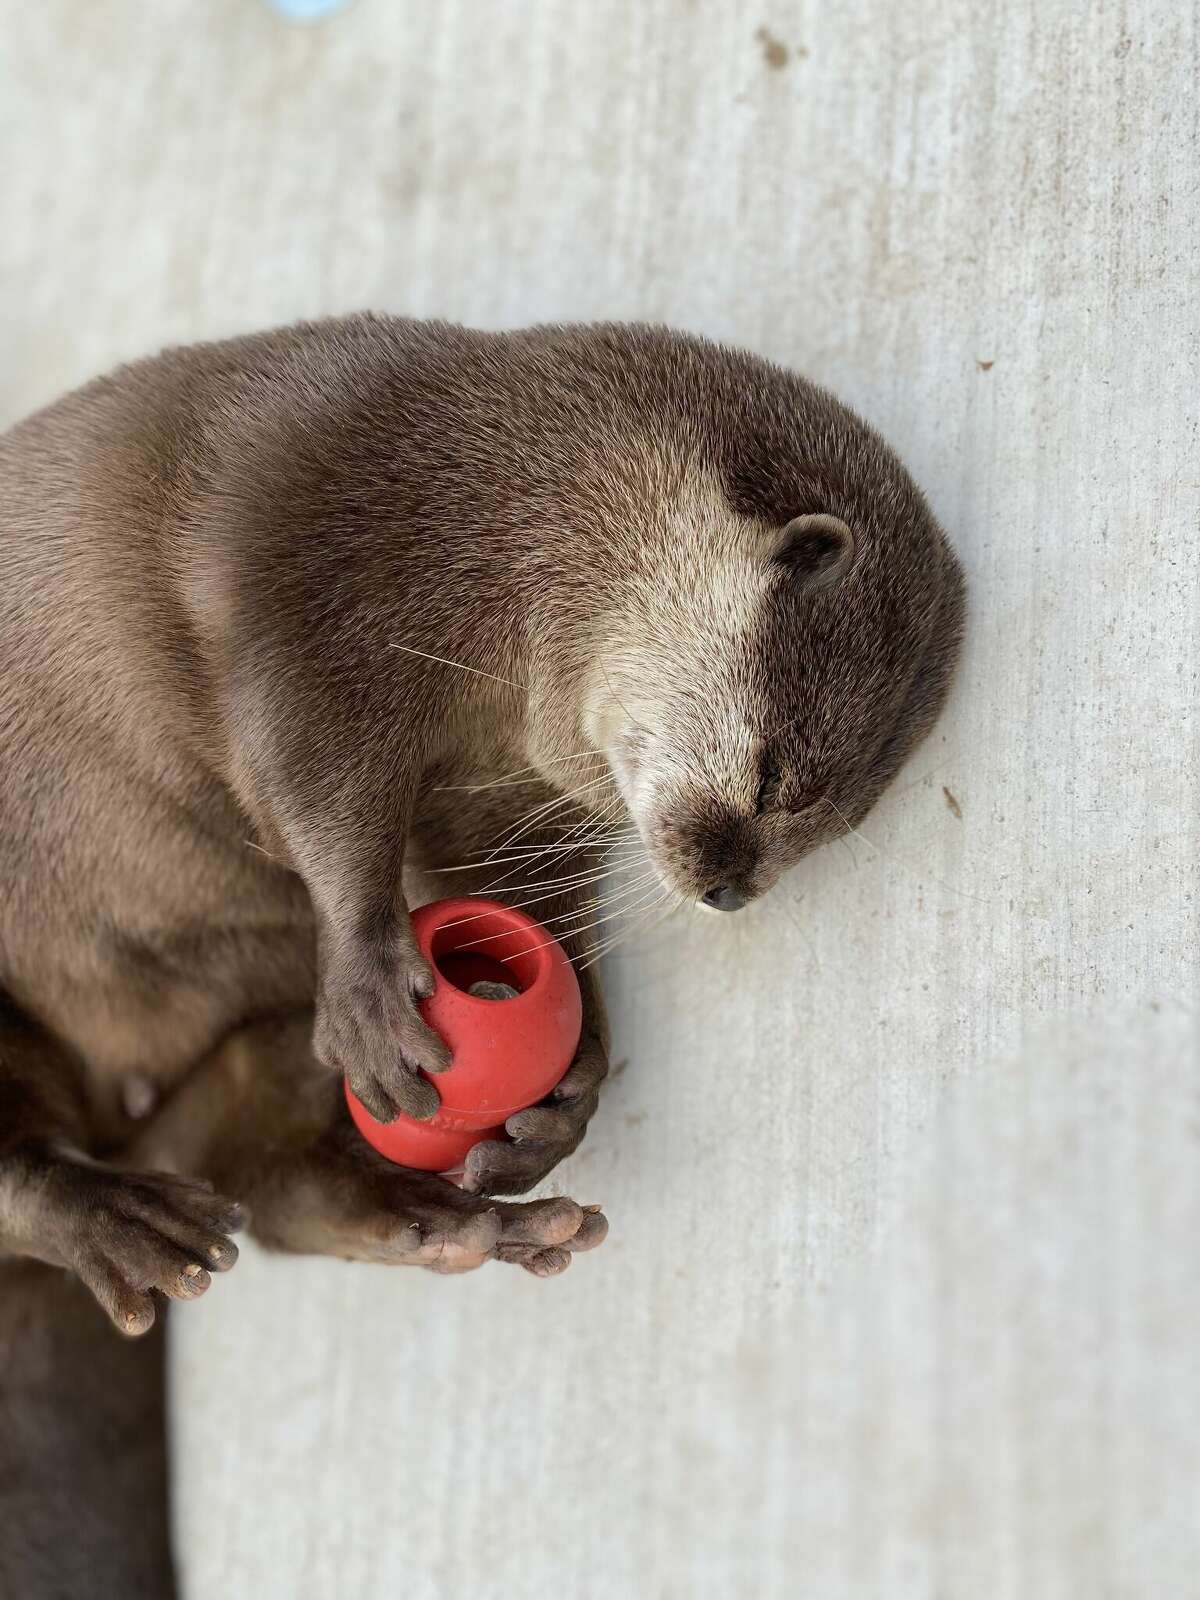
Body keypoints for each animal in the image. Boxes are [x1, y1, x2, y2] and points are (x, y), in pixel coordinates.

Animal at [0, 318, 963, 1552]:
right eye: (775, 774)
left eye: (833, 830)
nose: (731, 888)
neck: (481, 515)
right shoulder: (298, 576)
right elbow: (307, 775)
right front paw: (369, 973)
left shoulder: (511, 795)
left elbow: (518, 898)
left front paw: (569, 1089)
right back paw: (114, 1220)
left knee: (262, 1177)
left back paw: (446, 1224)